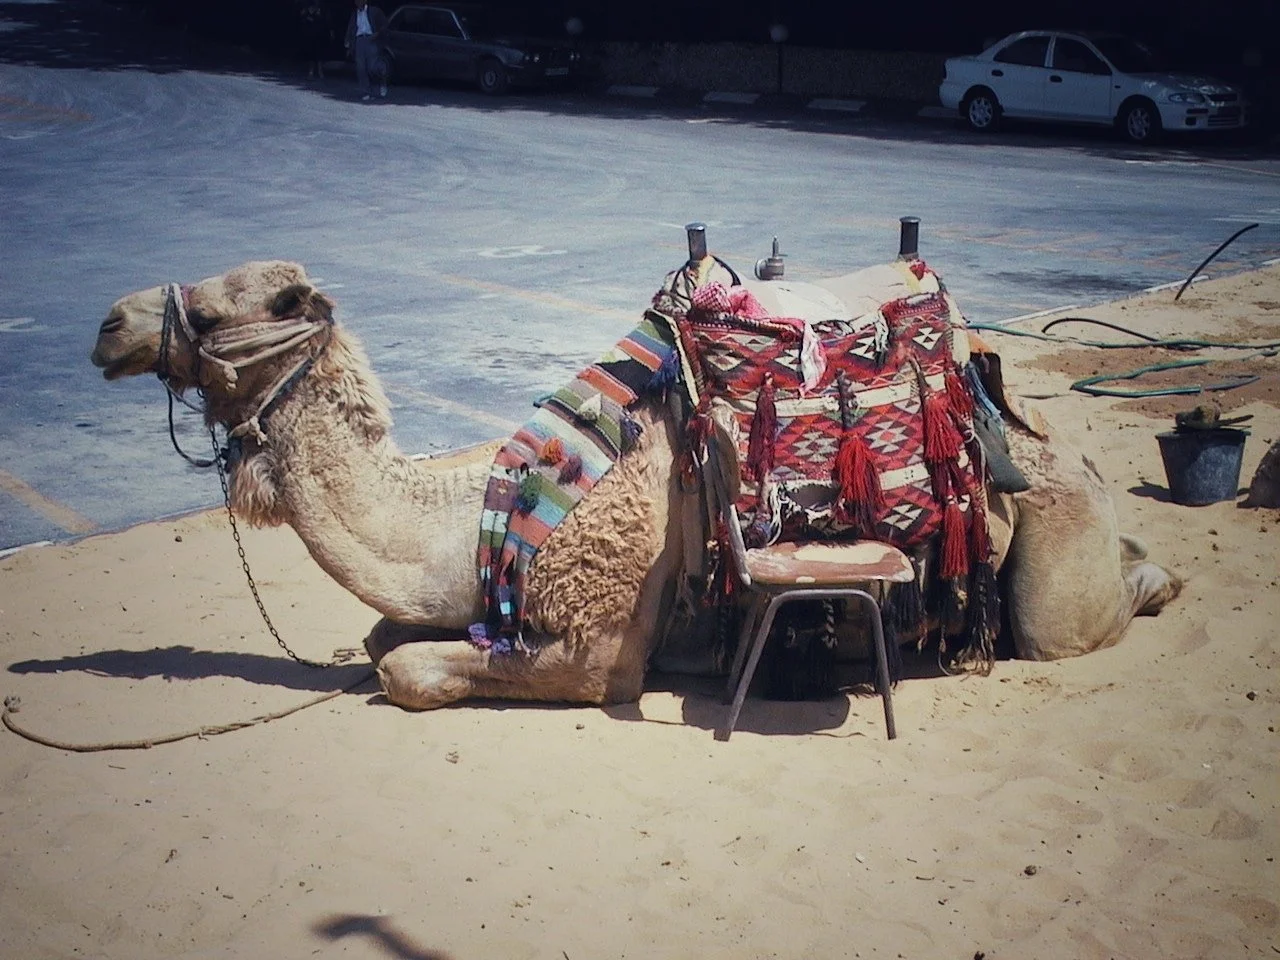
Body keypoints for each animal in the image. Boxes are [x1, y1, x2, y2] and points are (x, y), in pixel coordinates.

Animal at [89, 259, 1182, 711]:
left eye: (222, 310)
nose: (107, 325)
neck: (479, 518)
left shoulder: (600, 646)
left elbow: (408, 672)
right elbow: (379, 640)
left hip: (1047, 547)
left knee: (1064, 619)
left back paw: (1154, 584)